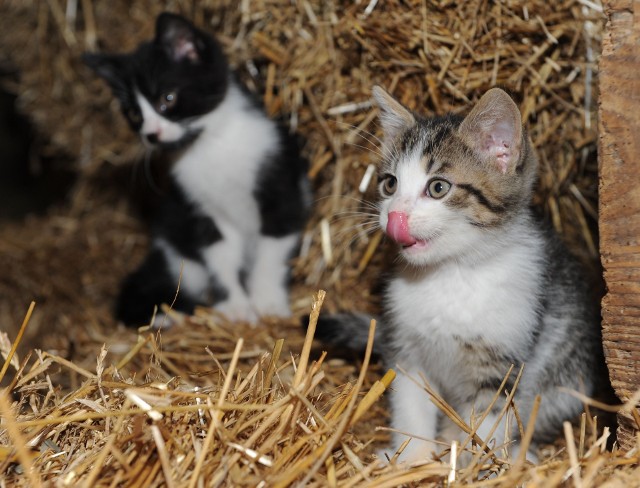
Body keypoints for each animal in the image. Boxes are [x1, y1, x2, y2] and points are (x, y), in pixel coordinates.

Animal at [84, 13, 310, 326]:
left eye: (167, 98)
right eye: (134, 114)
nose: (151, 135)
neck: (210, 145)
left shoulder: (281, 187)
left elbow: (272, 252)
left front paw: (268, 303)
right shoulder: (199, 210)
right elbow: (220, 255)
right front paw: (235, 308)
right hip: (177, 249)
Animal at [318, 86, 608, 464]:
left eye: (438, 188)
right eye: (390, 184)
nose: (395, 217)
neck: (450, 272)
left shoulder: (504, 362)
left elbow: (487, 420)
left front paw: (477, 465)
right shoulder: (407, 349)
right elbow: (411, 405)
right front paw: (412, 458)